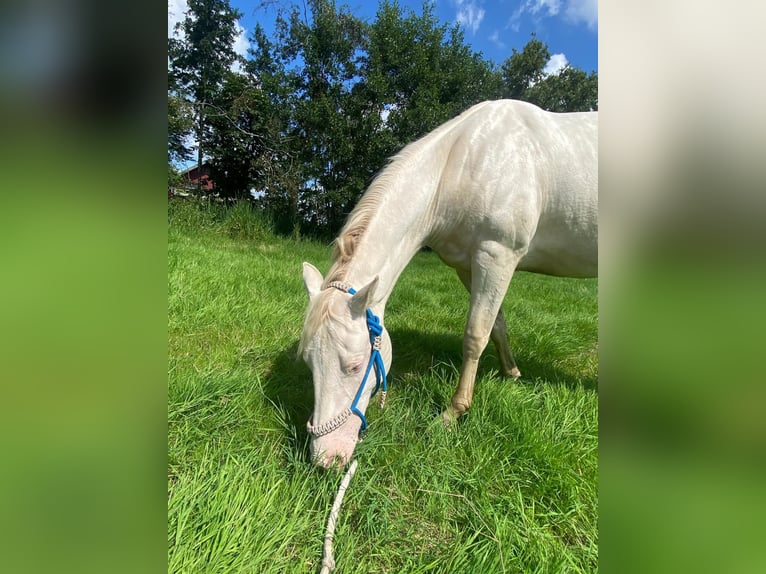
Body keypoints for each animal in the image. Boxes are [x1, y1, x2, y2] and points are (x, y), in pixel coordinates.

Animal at [300, 99, 600, 468]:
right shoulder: (469, 266)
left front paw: (453, 413)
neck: (464, 162)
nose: (325, 458)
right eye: (309, 362)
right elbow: (496, 325)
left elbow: (475, 335)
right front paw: (512, 374)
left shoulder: (497, 256)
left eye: (355, 365)